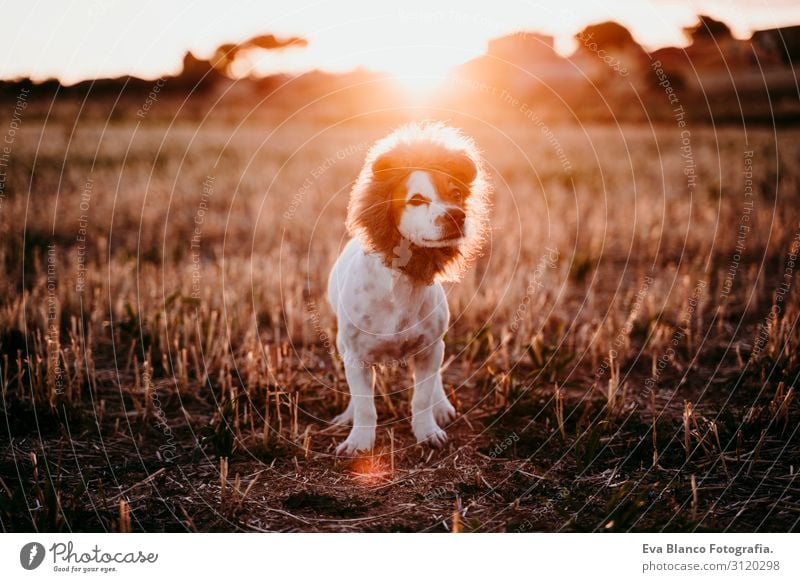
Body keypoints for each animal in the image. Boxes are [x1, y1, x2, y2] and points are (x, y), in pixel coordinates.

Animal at [324, 122, 488, 456]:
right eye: (416, 200)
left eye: (456, 194)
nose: (457, 215)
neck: (402, 283)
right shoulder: (356, 356)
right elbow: (365, 406)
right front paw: (359, 442)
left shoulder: (429, 350)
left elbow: (422, 397)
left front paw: (427, 431)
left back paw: (442, 406)